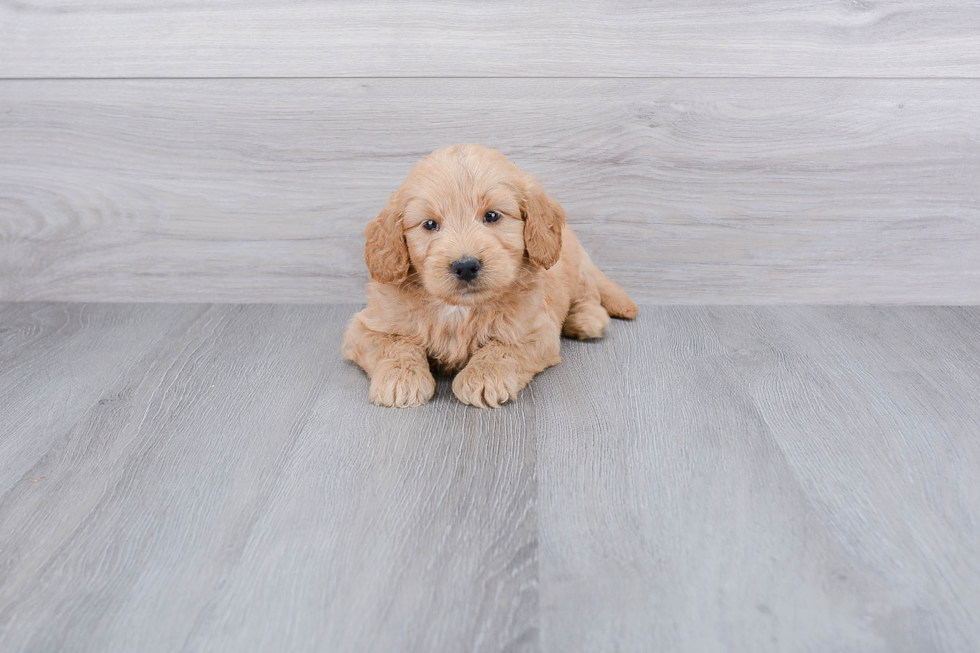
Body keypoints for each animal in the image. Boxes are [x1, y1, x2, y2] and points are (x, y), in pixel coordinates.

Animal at [342, 145, 636, 408]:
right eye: (429, 224)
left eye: (492, 216)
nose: (465, 266)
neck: (458, 309)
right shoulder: (367, 327)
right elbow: (395, 344)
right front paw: (401, 379)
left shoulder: (535, 331)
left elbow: (502, 348)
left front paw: (483, 378)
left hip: (574, 266)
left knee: (589, 294)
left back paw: (586, 320)